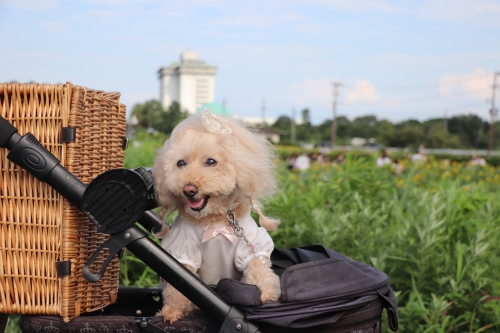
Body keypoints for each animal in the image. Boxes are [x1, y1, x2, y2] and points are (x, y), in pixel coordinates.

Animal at [150, 109, 284, 322]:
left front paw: (267, 295)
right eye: (181, 163)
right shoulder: (182, 248)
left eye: (211, 161)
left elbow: (258, 267)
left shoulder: (250, 244)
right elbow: (178, 284)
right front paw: (172, 311)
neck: (213, 220)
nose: (189, 189)